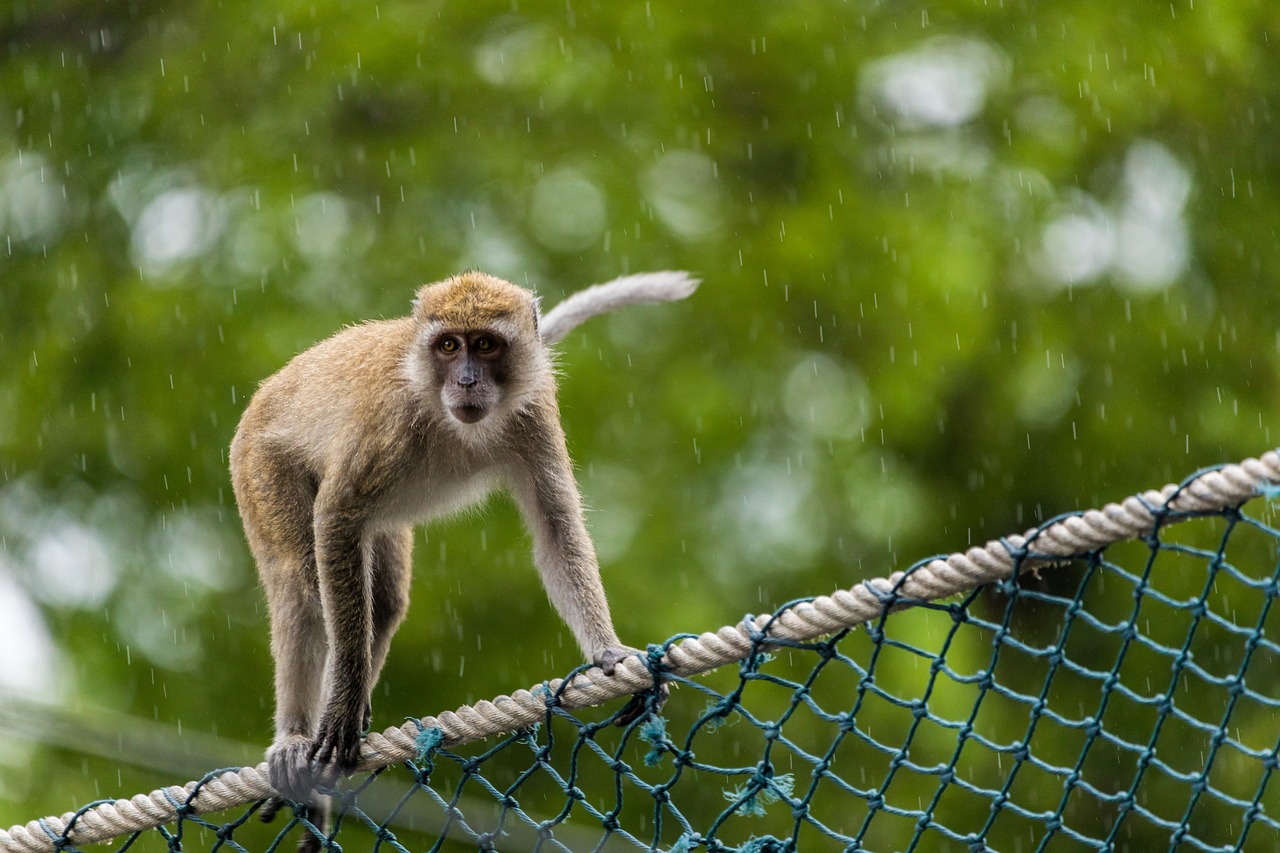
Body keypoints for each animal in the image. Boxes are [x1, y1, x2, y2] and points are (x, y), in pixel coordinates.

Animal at [225, 270, 696, 824]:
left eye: (486, 345)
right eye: (449, 346)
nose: (467, 381)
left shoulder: (533, 412)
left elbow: (557, 533)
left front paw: (611, 654)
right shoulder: (389, 420)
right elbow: (336, 519)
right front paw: (343, 701)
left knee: (383, 599)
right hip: (259, 463)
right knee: (298, 581)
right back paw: (298, 736)